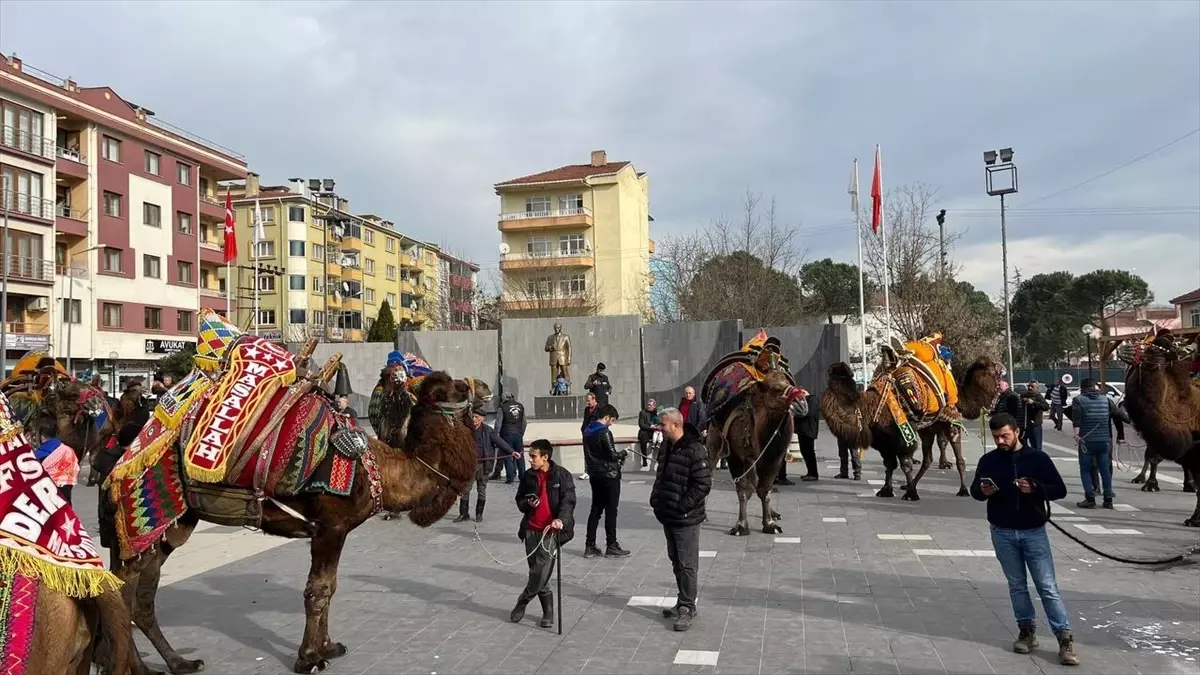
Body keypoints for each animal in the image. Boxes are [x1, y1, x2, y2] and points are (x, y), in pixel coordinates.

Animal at [102, 309, 477, 667]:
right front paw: (309, 657)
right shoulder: (330, 527)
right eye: (441, 389)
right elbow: (318, 590)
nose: (471, 386)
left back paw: (180, 662)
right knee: (121, 596)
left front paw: (328, 647)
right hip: (145, 522)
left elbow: (331, 587)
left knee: (142, 600)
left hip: (174, 526)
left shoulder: (335, 531)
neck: (380, 471)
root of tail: (116, 469)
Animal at [700, 329, 806, 533]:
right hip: (715, 443)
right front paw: (741, 526)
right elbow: (743, 489)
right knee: (710, 471)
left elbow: (765, 488)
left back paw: (774, 513)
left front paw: (770, 523)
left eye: (787, 382)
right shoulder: (735, 454)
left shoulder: (774, 456)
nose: (802, 402)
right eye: (775, 389)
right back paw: (703, 516)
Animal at [825, 333, 1003, 499]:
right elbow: (889, 464)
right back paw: (911, 484)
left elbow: (905, 463)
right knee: (927, 459)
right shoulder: (883, 437)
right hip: (927, 428)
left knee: (958, 458)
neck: (872, 405)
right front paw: (887, 490)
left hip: (949, 423)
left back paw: (962, 490)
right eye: (994, 368)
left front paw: (911, 494)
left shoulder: (904, 432)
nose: (1001, 367)